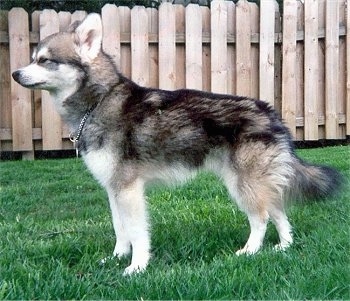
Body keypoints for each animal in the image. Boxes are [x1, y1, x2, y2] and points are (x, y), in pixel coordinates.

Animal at [12, 12, 344, 274]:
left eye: (44, 60)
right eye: (32, 58)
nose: (14, 73)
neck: (99, 101)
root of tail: (270, 112)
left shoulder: (129, 190)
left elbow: (137, 233)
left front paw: (136, 267)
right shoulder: (113, 189)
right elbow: (121, 231)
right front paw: (116, 258)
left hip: (243, 185)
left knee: (261, 218)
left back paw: (249, 252)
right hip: (254, 182)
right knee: (279, 212)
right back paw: (284, 247)